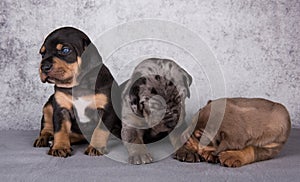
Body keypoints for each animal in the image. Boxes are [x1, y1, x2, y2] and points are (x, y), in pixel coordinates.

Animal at [33, 27, 121, 158]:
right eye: (43, 54)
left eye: (65, 50)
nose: (44, 67)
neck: (79, 84)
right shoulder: (61, 109)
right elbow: (60, 130)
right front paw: (60, 147)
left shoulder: (107, 110)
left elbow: (100, 130)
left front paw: (95, 147)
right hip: (48, 105)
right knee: (47, 125)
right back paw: (46, 138)